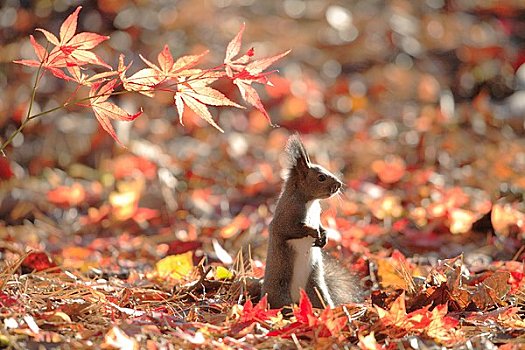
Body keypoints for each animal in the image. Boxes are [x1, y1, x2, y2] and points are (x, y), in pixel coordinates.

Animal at [260, 134, 362, 308]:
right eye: (321, 177)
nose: (339, 184)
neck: (310, 202)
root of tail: (297, 298)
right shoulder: (285, 216)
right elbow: (291, 229)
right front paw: (313, 231)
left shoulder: (317, 214)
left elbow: (321, 225)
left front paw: (324, 235)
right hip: (280, 289)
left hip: (315, 287)